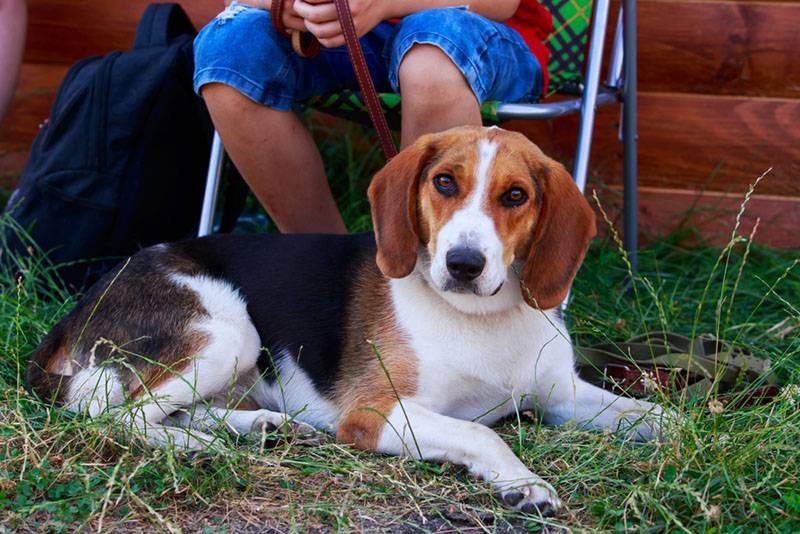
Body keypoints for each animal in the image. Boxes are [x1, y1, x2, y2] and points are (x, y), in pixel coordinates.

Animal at [25, 126, 664, 520]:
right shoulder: (373, 414)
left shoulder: (560, 395)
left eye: (515, 195)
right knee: (112, 417)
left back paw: (260, 427)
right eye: (445, 182)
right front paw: (523, 483)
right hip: (229, 334)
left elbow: (656, 416)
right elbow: (483, 432)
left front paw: (672, 429)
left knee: (174, 409)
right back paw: (199, 447)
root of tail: (83, 304)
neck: (483, 317)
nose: (463, 263)